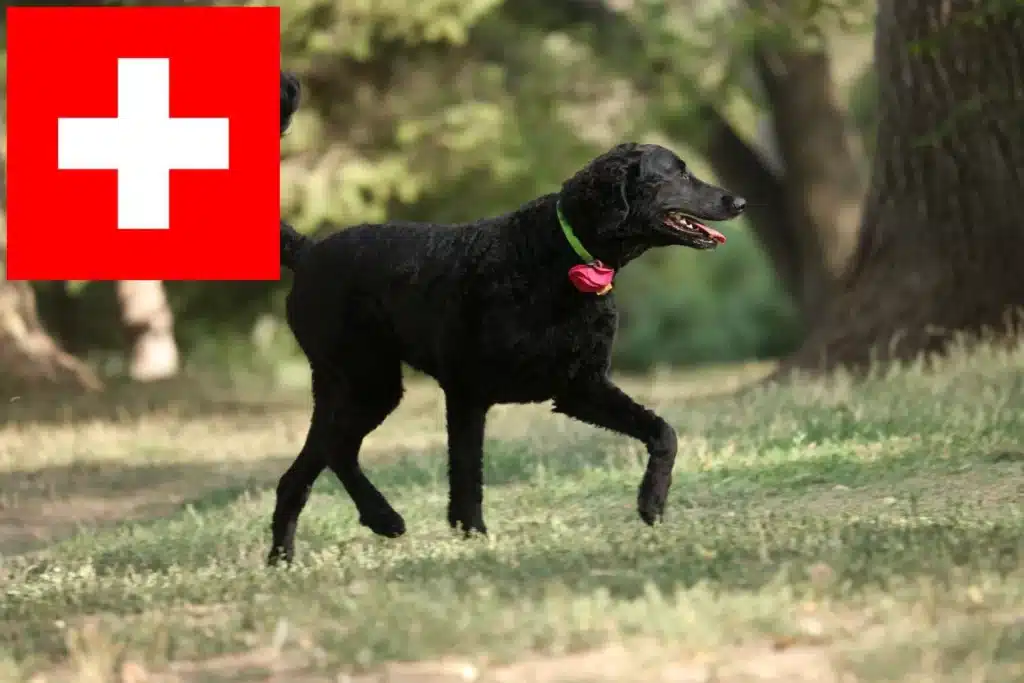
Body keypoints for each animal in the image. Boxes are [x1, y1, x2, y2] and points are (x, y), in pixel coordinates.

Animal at [270, 77, 745, 565]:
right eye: (678, 173)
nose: (740, 201)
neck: (557, 254)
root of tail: (309, 250)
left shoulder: (581, 387)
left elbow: (664, 432)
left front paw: (652, 501)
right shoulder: (466, 392)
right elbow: (466, 476)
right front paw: (473, 535)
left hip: (345, 388)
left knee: (302, 471)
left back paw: (282, 559)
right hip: (368, 381)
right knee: (338, 450)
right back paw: (383, 517)